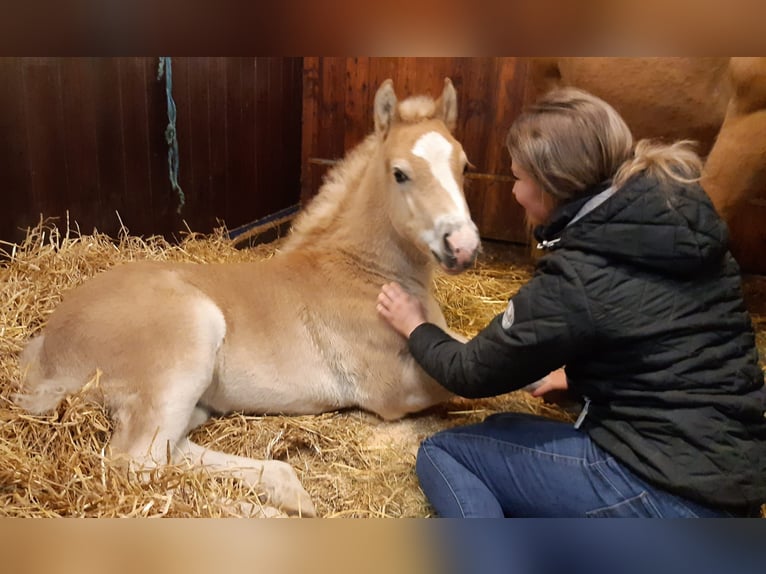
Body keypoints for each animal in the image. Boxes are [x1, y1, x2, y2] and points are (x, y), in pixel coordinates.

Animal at [16, 77, 480, 516]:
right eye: (400, 173)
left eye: (463, 165)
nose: (463, 246)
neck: (360, 272)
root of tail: (47, 348)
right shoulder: (391, 389)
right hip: (187, 347)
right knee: (134, 465)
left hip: (187, 402)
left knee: (169, 453)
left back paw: (287, 491)